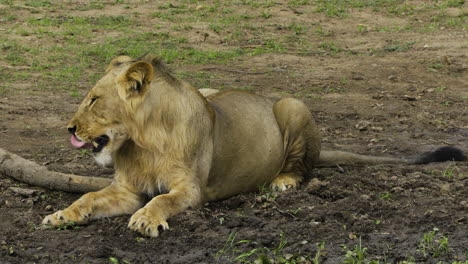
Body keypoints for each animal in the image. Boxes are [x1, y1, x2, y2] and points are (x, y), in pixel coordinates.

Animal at [43, 54, 464, 236]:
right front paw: (62, 215)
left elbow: (161, 199)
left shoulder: (191, 191)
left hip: (292, 104)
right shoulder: (127, 189)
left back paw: (283, 181)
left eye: (94, 100)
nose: (69, 128)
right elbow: (89, 198)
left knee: (302, 166)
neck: (142, 142)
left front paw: (146, 220)